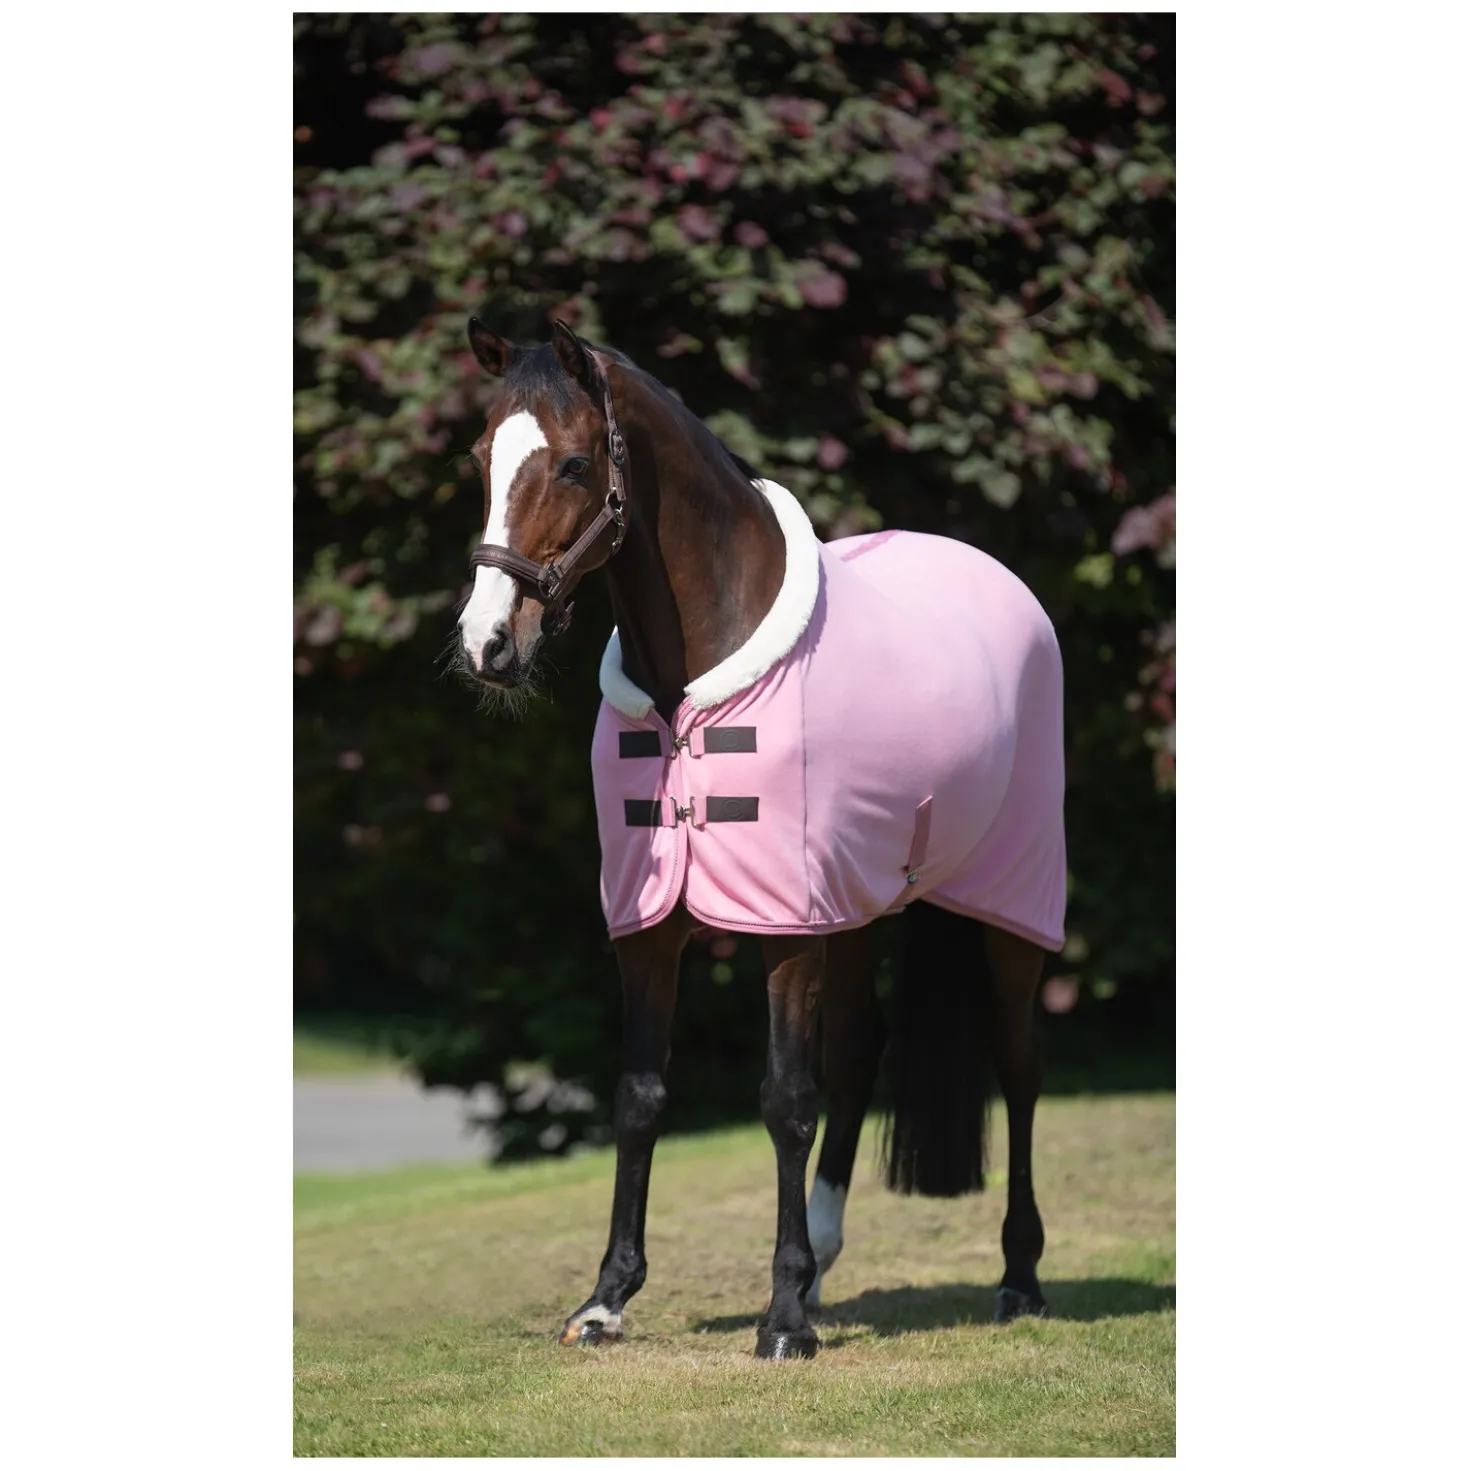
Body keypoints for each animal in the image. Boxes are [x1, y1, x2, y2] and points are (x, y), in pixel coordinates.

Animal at [454, 318, 1064, 1359]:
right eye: (480, 459)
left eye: (573, 463)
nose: (487, 643)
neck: (690, 693)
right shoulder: (654, 929)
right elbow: (640, 1097)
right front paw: (607, 1298)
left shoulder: (786, 929)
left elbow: (785, 1099)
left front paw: (782, 1320)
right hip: (855, 907)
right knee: (861, 1053)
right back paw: (822, 1261)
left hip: (1005, 906)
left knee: (1017, 1066)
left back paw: (1017, 1274)